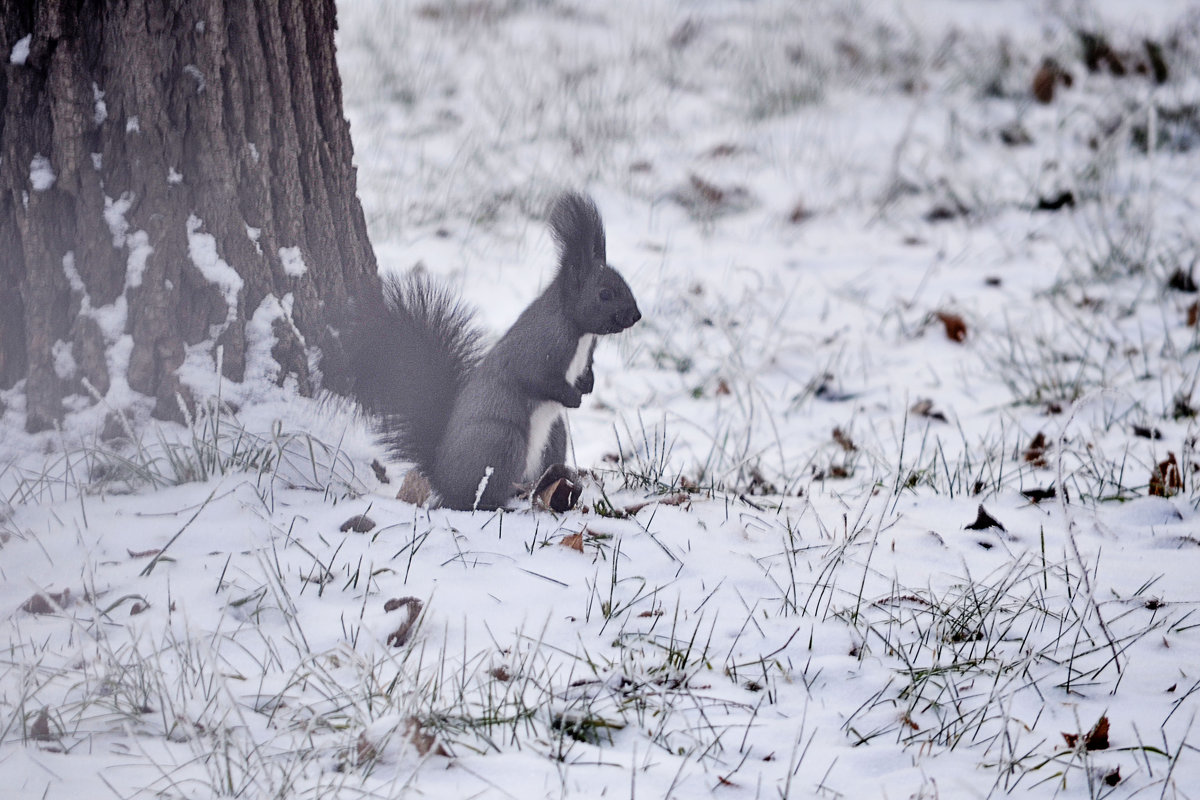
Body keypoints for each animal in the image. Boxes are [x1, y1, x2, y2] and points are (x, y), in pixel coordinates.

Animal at [350, 190, 643, 510]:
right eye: (605, 294)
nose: (636, 316)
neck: (580, 331)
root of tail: (443, 478)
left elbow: (586, 371)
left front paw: (587, 385)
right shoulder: (539, 349)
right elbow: (537, 379)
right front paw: (573, 397)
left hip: (554, 438)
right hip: (502, 440)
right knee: (481, 496)